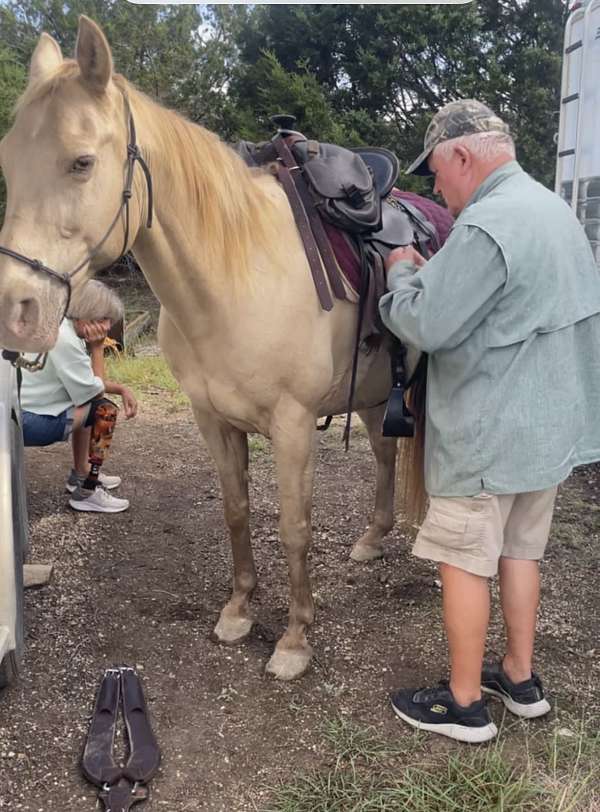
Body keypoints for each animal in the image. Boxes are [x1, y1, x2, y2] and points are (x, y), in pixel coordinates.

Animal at [0, 17, 450, 680]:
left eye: (81, 162)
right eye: (9, 162)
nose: (16, 310)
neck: (236, 278)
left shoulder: (292, 427)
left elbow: (293, 527)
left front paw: (294, 640)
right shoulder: (212, 418)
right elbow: (237, 511)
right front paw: (238, 612)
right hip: (373, 396)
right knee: (385, 453)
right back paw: (371, 539)